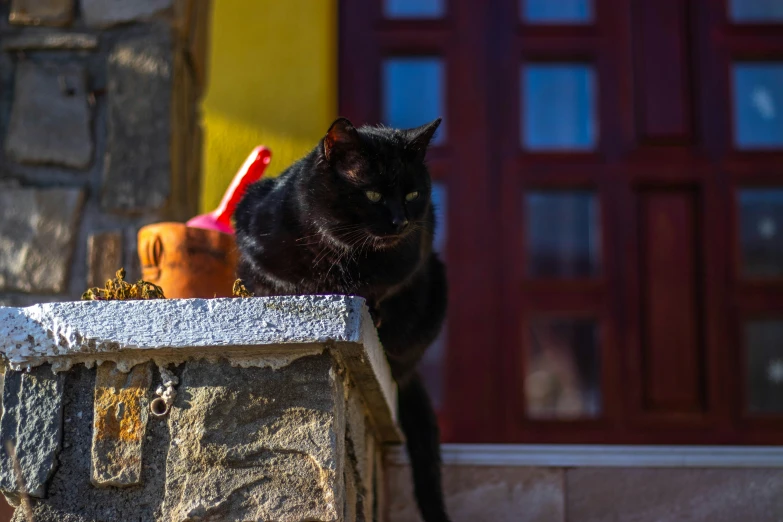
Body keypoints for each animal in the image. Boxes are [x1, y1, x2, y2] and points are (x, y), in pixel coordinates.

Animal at [233, 118, 450, 520]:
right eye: (373, 195)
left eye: (413, 194)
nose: (400, 221)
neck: (344, 253)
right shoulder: (253, 235)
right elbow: (283, 281)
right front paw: (311, 289)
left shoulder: (414, 251)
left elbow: (383, 285)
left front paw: (370, 307)